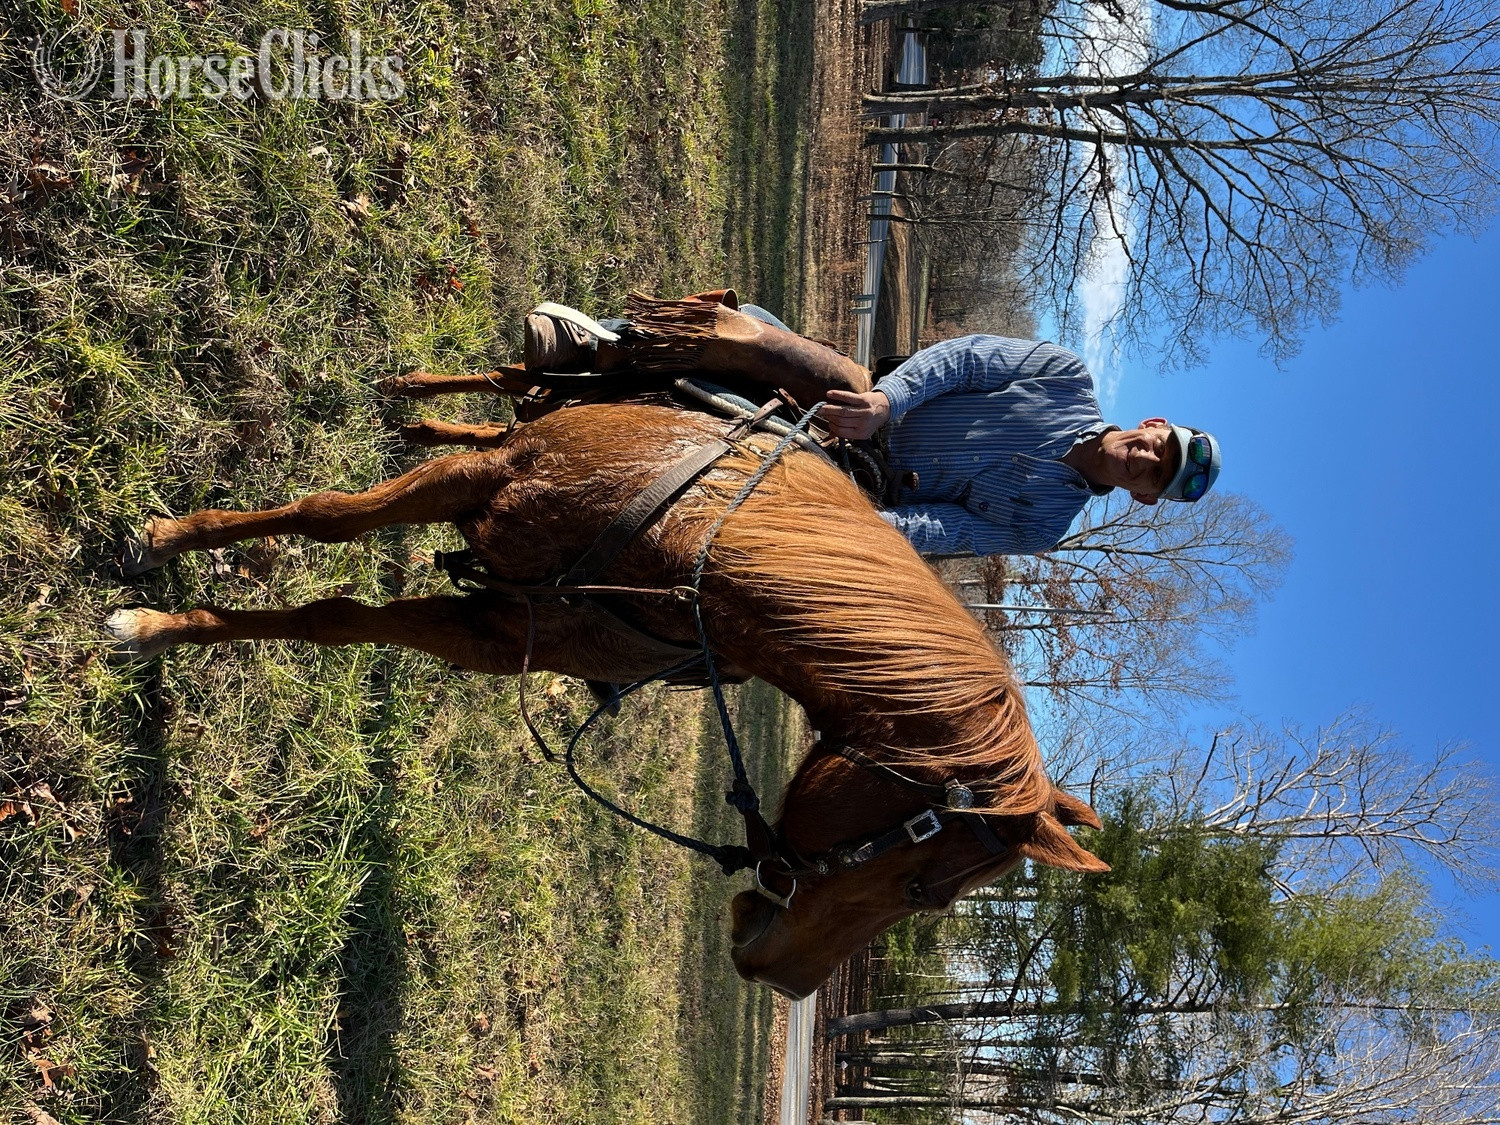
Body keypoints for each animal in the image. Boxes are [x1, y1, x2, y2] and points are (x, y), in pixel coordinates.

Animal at [106, 387, 1107, 1000]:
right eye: (923, 886)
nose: (785, 981)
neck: (692, 544)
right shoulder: (484, 483)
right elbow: (322, 518)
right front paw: (161, 558)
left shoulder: (496, 632)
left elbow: (338, 618)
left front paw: (168, 622)